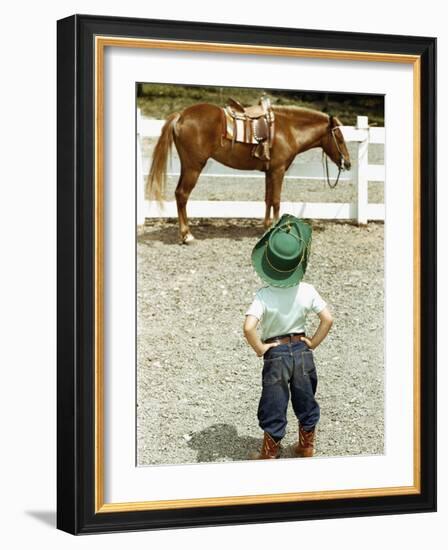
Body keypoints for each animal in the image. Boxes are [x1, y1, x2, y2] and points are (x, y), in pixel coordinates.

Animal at [146, 103, 350, 244]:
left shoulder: (269, 172)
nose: (347, 163)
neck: (288, 130)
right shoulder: (278, 171)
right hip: (193, 167)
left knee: (178, 194)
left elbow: (268, 199)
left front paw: (267, 227)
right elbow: (276, 200)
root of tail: (181, 116)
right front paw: (276, 228)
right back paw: (186, 235)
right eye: (339, 138)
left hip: (187, 166)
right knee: (182, 195)